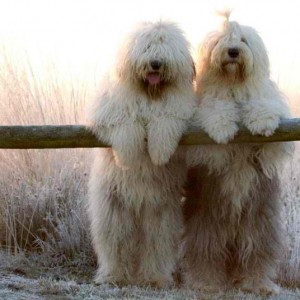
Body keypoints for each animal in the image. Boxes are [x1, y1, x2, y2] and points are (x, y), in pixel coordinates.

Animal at [88, 19, 196, 288]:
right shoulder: (109, 108)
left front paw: (159, 152)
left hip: (161, 212)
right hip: (112, 207)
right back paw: (113, 275)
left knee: (157, 244)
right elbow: (125, 121)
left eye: (165, 47)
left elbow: (167, 119)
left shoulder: (181, 110)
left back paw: (155, 277)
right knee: (114, 242)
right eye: (146, 46)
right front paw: (127, 155)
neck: (150, 95)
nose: (156, 63)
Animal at [182, 12, 294, 294]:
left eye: (242, 40)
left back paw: (257, 283)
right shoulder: (204, 114)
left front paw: (262, 123)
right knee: (206, 252)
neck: (233, 85)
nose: (232, 51)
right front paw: (222, 129)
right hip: (207, 220)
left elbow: (263, 109)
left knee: (257, 253)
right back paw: (206, 282)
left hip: (260, 219)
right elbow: (214, 111)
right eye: (221, 41)